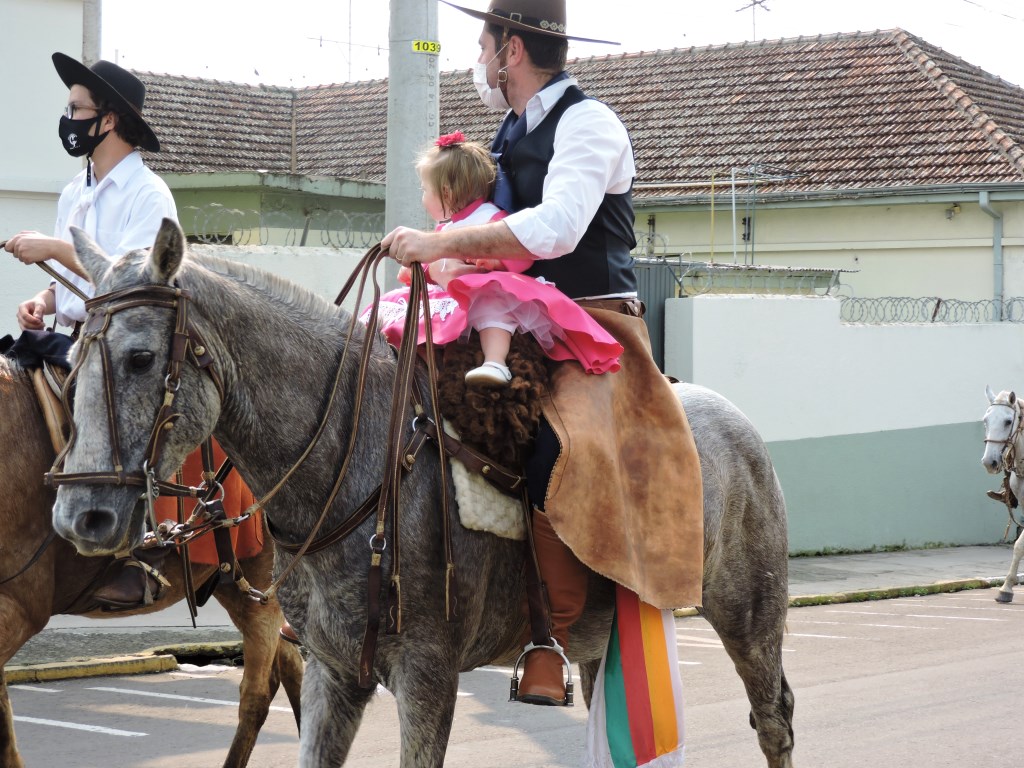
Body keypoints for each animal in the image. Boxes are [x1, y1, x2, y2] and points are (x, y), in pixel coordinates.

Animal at [51, 219, 794, 765]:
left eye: (141, 357)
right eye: (72, 357)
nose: (81, 515)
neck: (358, 474)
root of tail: (739, 425)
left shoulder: (428, 676)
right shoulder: (332, 674)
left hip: (747, 617)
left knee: (774, 717)